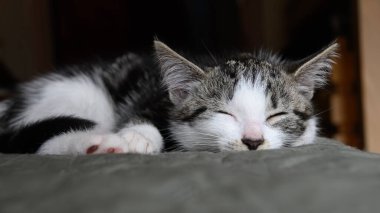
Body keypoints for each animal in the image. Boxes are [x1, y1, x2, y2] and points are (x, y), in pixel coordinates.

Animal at [0, 40, 338, 154]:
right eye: (224, 113)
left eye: (276, 115)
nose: (253, 141)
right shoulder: (150, 89)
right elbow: (145, 108)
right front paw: (137, 136)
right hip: (78, 94)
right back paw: (101, 143)